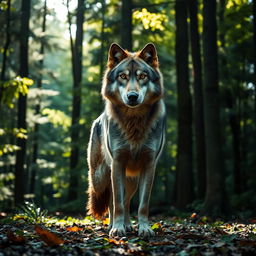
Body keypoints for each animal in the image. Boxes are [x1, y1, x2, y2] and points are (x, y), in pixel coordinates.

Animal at [86, 43, 166, 237]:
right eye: (123, 76)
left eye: (142, 76)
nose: (132, 96)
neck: (133, 121)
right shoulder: (118, 164)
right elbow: (118, 204)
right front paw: (117, 228)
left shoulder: (149, 166)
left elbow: (142, 205)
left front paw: (144, 228)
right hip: (101, 178)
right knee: (112, 200)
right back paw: (113, 225)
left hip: (132, 181)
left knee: (127, 199)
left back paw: (128, 225)